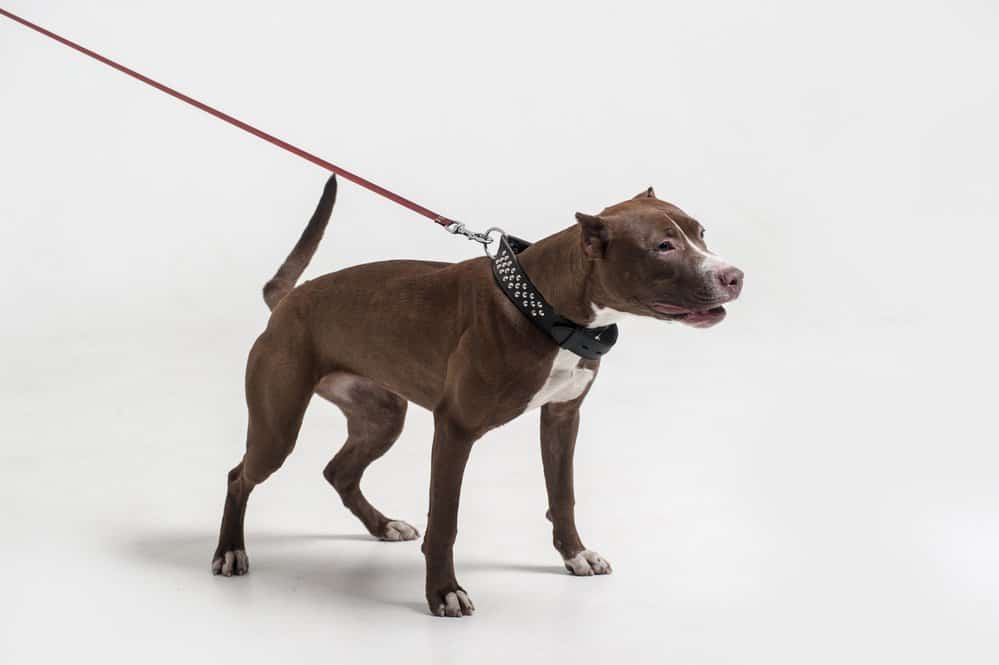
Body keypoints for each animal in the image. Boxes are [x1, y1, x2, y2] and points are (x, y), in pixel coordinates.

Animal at [211, 174, 744, 616]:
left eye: (701, 233)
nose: (734, 275)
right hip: (278, 427)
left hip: (382, 416)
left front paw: (575, 555)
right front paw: (443, 592)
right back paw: (230, 551)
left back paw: (383, 526)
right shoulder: (455, 429)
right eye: (663, 246)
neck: (545, 307)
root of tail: (288, 300)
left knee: (339, 471)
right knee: (240, 476)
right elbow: (445, 520)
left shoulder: (562, 417)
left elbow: (563, 494)